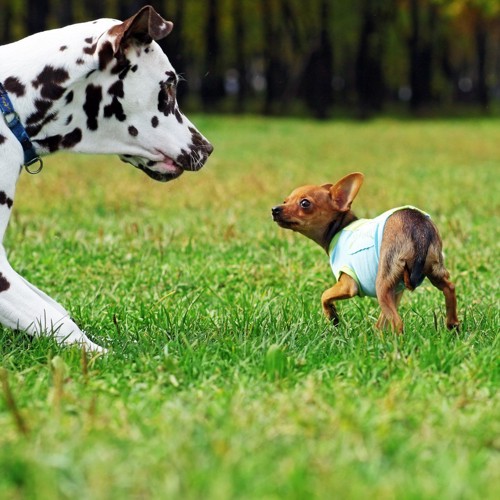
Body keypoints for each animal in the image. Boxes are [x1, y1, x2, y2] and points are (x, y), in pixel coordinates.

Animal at [272, 172, 458, 332]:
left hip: (382, 284)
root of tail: (419, 227)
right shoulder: (396, 291)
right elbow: (382, 320)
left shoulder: (348, 284)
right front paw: (377, 334)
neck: (340, 228)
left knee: (397, 322)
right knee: (449, 288)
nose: (275, 209)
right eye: (285, 201)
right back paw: (452, 325)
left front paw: (333, 316)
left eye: (305, 203)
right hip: (434, 269)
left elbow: (324, 295)